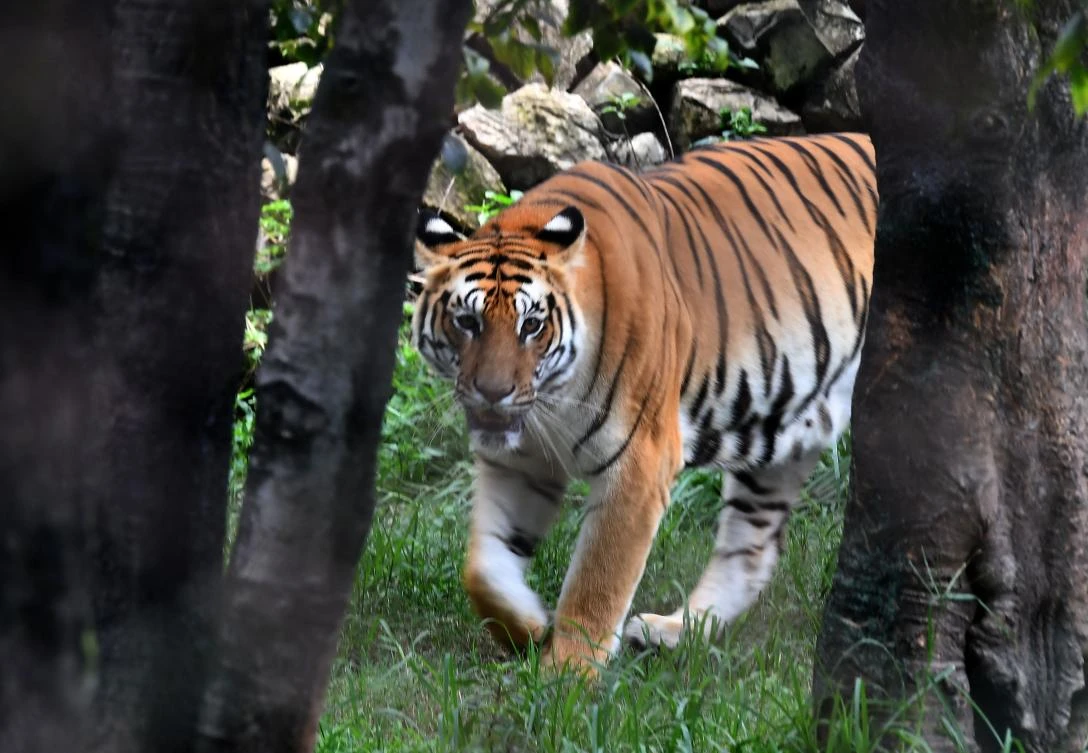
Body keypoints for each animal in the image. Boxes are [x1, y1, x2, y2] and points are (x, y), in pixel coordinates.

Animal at [411, 132, 877, 672]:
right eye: (467, 322)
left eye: (532, 325)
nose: (493, 392)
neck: (552, 402)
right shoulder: (518, 463)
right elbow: (484, 566)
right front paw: (526, 626)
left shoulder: (640, 461)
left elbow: (598, 580)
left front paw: (565, 673)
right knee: (752, 551)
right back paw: (672, 633)